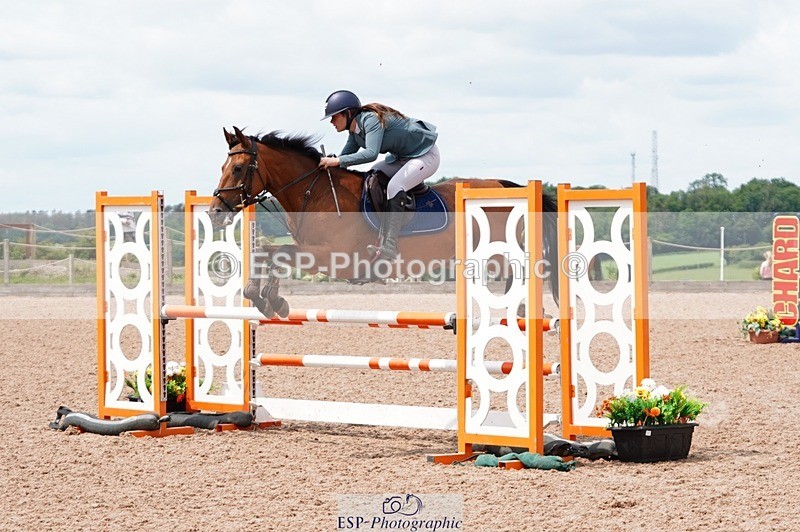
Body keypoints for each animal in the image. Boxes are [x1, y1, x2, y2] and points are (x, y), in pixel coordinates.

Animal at [209, 126, 558, 317]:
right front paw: (263, 297)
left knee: (526, 273)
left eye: (238, 169)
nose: (215, 212)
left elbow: (277, 254)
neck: (316, 192)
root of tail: (506, 185)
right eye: (223, 167)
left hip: (498, 253)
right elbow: (265, 252)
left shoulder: (335, 259)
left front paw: (272, 299)